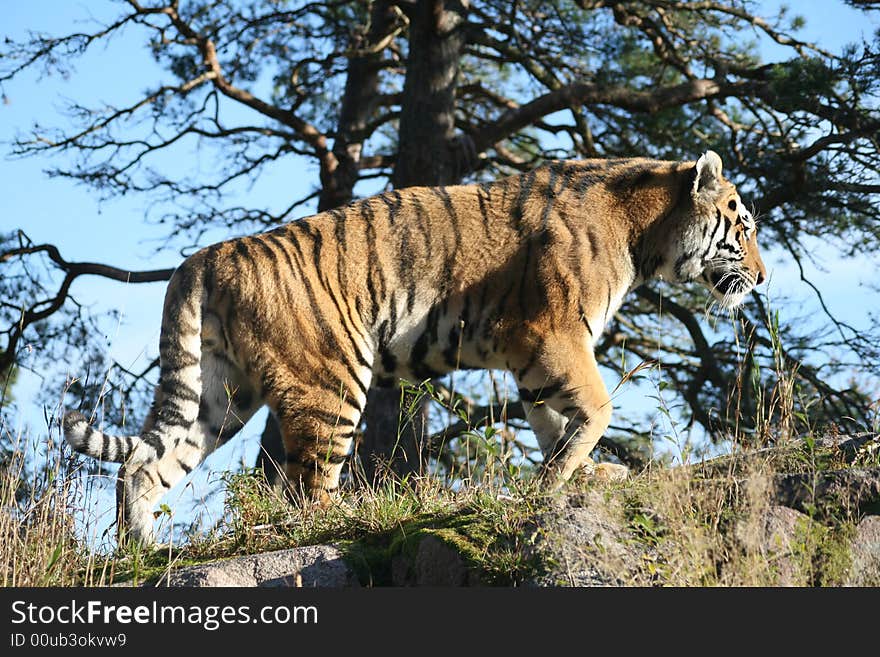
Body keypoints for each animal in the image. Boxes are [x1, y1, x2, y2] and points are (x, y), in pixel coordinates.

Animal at [63, 149, 764, 544]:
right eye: (746, 226)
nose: (762, 278)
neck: (647, 235)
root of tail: (203, 257)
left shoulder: (533, 358)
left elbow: (551, 420)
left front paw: (577, 473)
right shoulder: (554, 332)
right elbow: (596, 407)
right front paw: (559, 480)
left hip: (220, 393)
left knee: (143, 464)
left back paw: (141, 553)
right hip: (332, 380)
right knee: (308, 490)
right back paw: (344, 522)